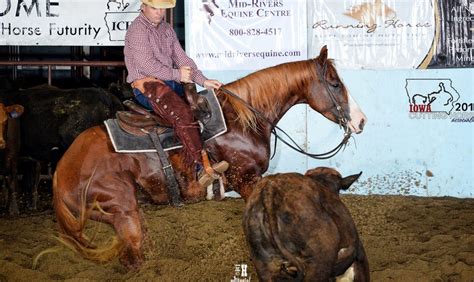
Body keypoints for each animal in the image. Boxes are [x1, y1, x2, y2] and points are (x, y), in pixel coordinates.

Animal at [51, 47, 366, 270]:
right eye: (335, 84)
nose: (360, 121)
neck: (243, 119)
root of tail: (60, 173)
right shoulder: (247, 179)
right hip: (123, 211)